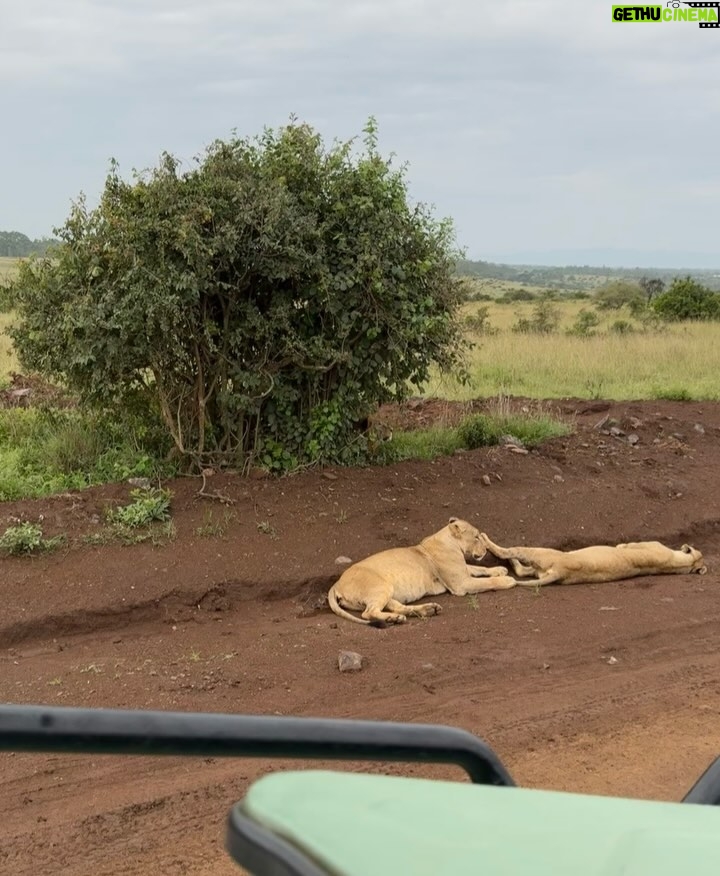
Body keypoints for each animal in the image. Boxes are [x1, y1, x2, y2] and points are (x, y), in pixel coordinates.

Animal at [327, 518, 517, 626]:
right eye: (477, 537)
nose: (485, 549)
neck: (449, 541)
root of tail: (336, 584)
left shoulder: (462, 570)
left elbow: (478, 568)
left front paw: (499, 569)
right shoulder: (461, 584)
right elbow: (485, 581)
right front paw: (507, 580)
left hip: (387, 592)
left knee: (398, 607)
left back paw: (423, 611)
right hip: (381, 587)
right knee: (368, 613)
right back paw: (394, 619)